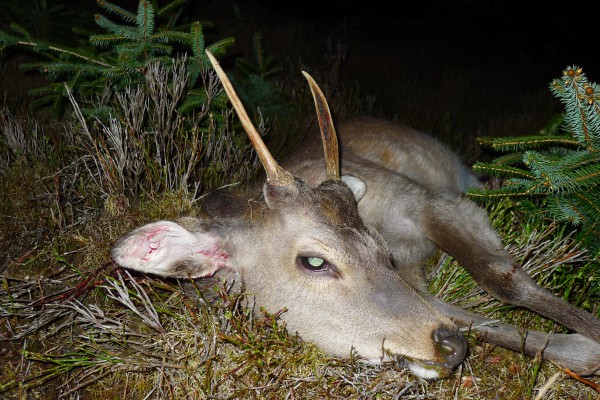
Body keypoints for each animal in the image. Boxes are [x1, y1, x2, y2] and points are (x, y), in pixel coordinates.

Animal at [112, 51, 600, 380]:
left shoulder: (423, 201)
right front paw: (578, 348)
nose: (451, 346)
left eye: (380, 248)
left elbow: (499, 277)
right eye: (314, 260)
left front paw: (589, 331)